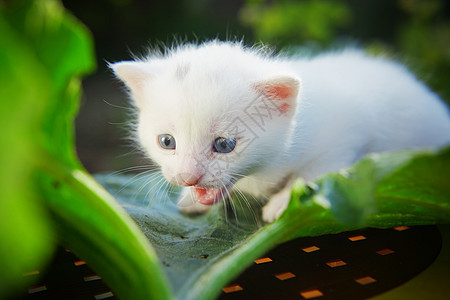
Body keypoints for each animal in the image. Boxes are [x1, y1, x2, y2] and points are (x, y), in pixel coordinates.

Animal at [110, 40, 450, 223]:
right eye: (166, 142)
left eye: (224, 145)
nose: (186, 178)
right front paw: (190, 199)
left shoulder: (344, 141)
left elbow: (312, 172)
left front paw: (281, 203)